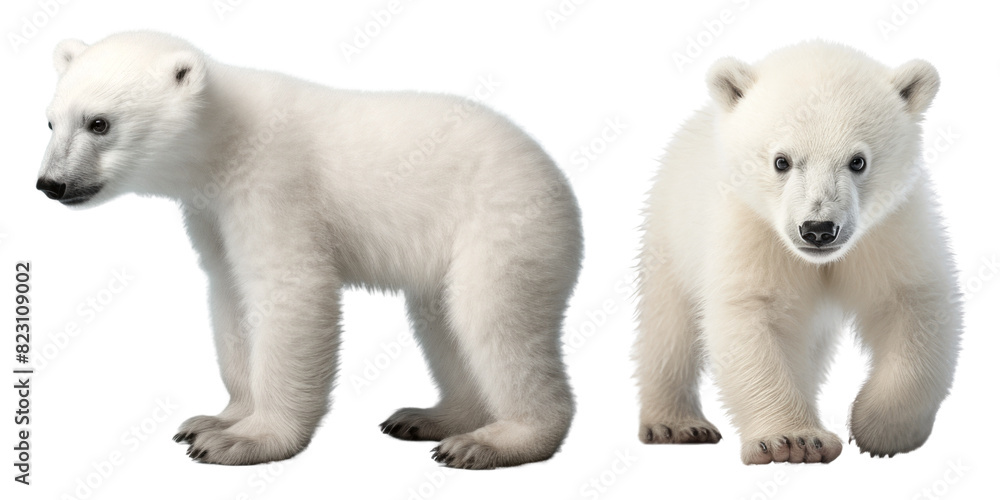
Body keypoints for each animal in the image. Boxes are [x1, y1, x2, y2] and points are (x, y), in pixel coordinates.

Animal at [36, 31, 583, 469]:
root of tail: (560, 184)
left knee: (493, 321)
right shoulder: (212, 212)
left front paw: (244, 440)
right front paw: (215, 420)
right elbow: (231, 296)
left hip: (501, 226)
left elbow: (292, 291)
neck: (224, 137)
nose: (50, 184)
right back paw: (429, 418)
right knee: (443, 323)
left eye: (99, 123)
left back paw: (492, 442)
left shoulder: (275, 183)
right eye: (50, 122)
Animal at [633, 42, 961, 465]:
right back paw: (676, 425)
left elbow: (912, 303)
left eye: (858, 161)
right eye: (781, 161)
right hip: (670, 228)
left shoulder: (889, 226)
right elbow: (753, 315)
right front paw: (793, 440)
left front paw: (878, 431)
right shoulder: (749, 226)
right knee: (669, 325)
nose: (818, 229)